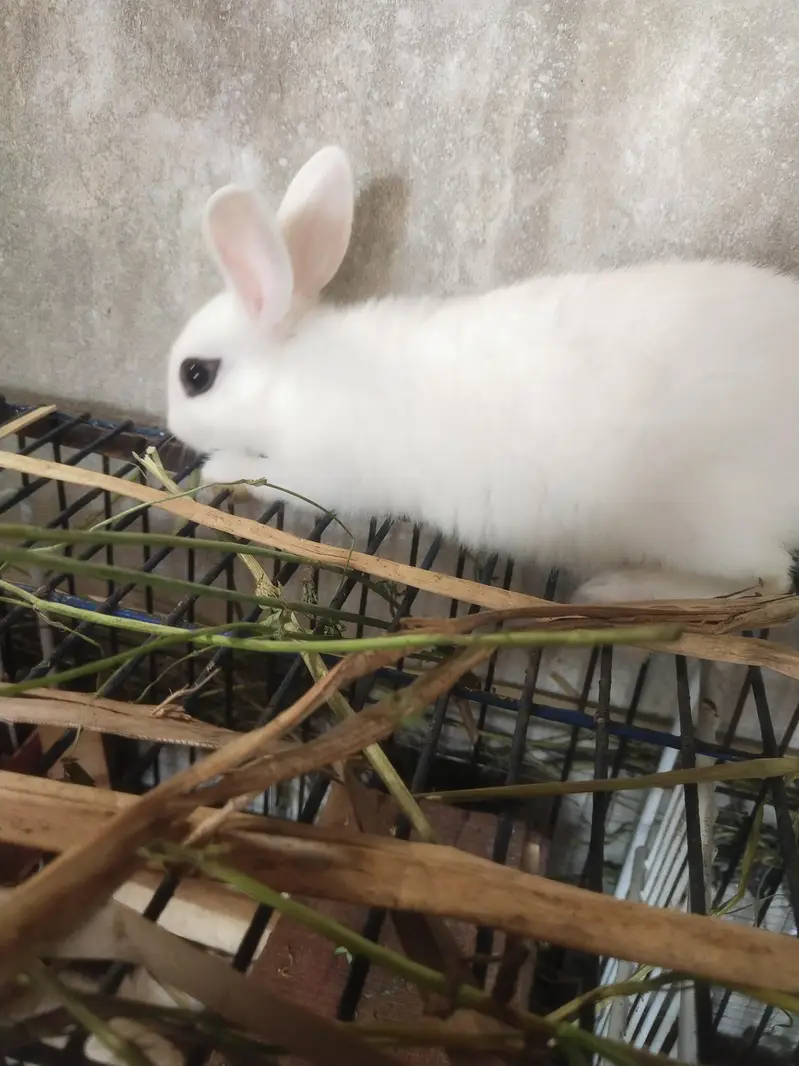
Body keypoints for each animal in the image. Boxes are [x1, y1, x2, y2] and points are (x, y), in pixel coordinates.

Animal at [166, 145, 799, 605]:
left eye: (196, 376)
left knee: (767, 582)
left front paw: (215, 469)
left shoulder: (319, 473)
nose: (171, 425)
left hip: (705, 522)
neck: (289, 377)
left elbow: (266, 476)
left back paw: (616, 589)